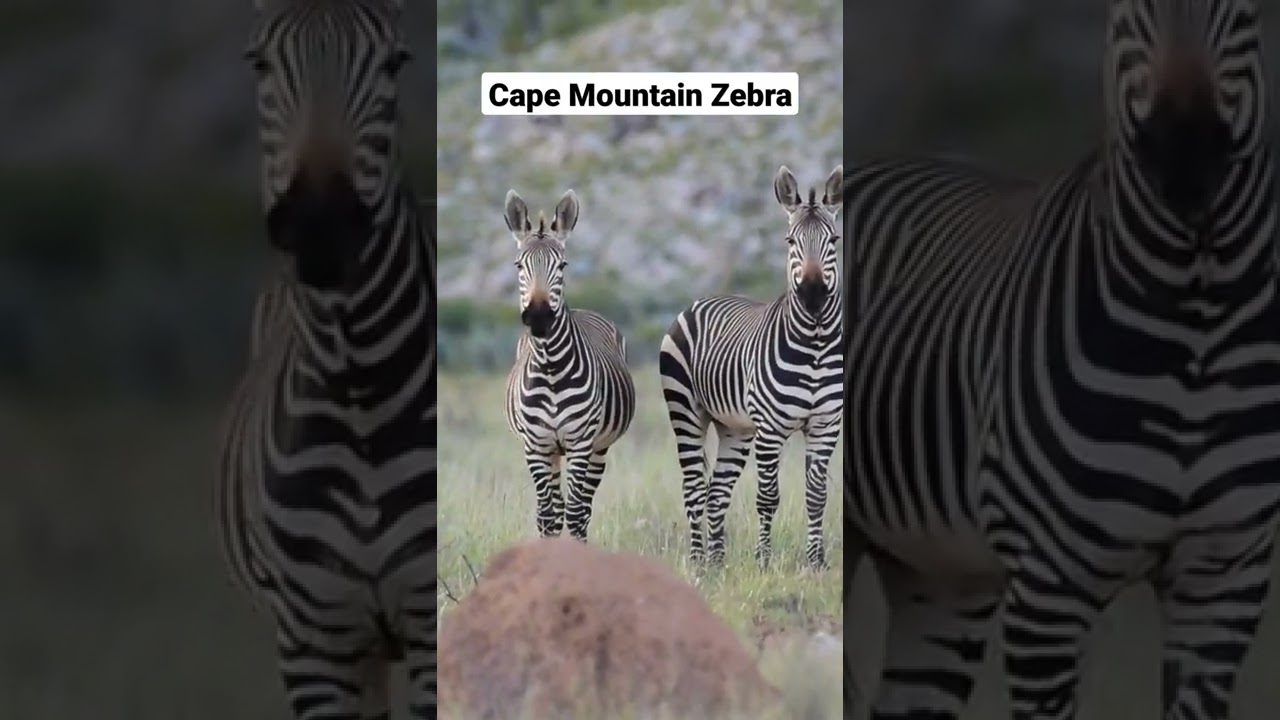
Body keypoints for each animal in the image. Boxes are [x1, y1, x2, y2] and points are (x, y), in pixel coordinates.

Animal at [214, 1, 436, 718]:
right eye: (258, 63)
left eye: (396, 62)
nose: (320, 227)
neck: (359, 386)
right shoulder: (311, 643)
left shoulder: (426, 624)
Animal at [502, 188, 637, 540]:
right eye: (519, 265)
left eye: (562, 265)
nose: (538, 317)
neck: (550, 368)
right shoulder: (535, 446)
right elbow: (547, 516)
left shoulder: (581, 442)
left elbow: (576, 514)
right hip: (552, 451)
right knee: (556, 508)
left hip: (598, 448)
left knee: (582, 509)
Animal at [659, 164, 844, 569]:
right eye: (790, 241)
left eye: (834, 240)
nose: (812, 293)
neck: (816, 344)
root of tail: (702, 300)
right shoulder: (771, 429)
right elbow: (768, 496)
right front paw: (764, 561)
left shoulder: (826, 425)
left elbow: (817, 495)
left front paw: (816, 562)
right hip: (686, 412)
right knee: (694, 487)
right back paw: (698, 562)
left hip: (735, 428)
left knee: (716, 492)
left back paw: (717, 562)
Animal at [844, 0, 1278, 717]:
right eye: (1131, 11)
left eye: (1243, 11)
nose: (1185, 159)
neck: (1195, 318)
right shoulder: (1049, 591)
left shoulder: (1225, 581)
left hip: (941, 577)